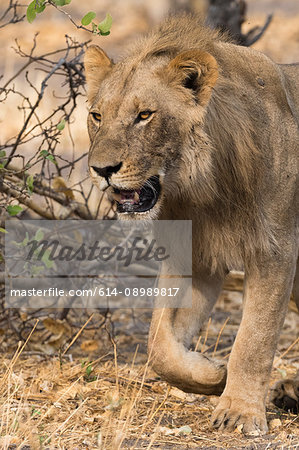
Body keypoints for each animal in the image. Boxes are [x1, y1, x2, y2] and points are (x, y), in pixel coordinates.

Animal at [84, 15, 299, 434]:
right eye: (97, 116)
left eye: (144, 115)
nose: (102, 170)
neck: (202, 188)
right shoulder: (193, 257)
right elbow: (159, 344)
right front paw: (213, 376)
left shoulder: (276, 250)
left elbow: (255, 337)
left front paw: (239, 412)